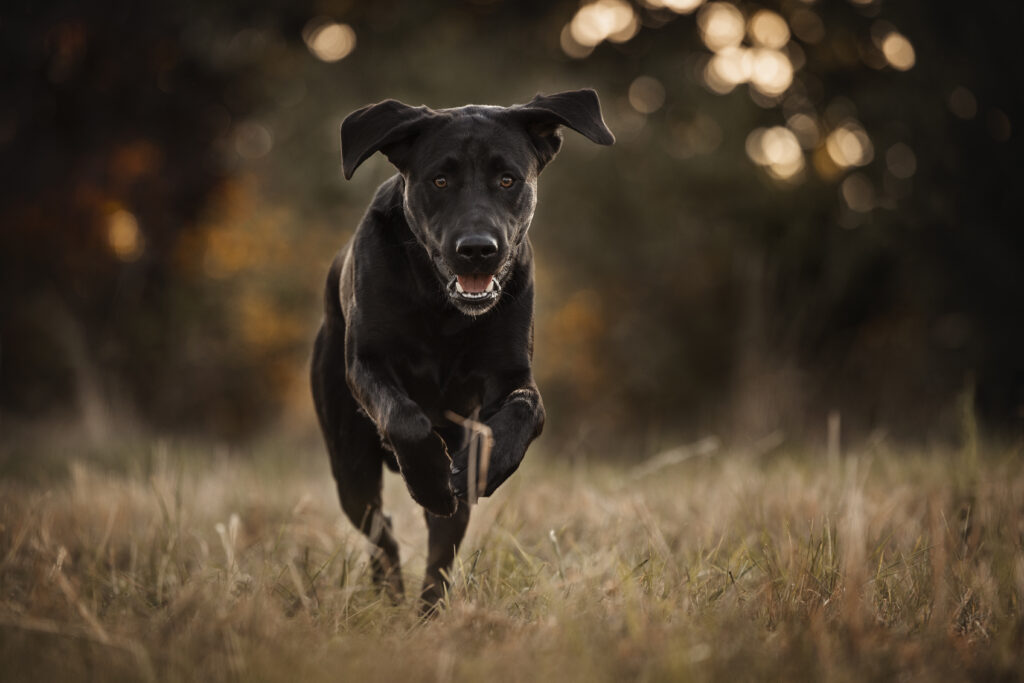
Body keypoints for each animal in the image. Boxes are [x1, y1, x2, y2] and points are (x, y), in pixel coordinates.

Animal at [309, 88, 614, 606]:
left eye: (508, 179)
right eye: (440, 179)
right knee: (380, 529)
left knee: (440, 551)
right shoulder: (367, 363)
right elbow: (405, 417)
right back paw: (392, 593)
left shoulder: (511, 375)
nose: (477, 249)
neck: (442, 309)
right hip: (349, 463)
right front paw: (429, 477)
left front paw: (481, 465)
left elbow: (525, 412)